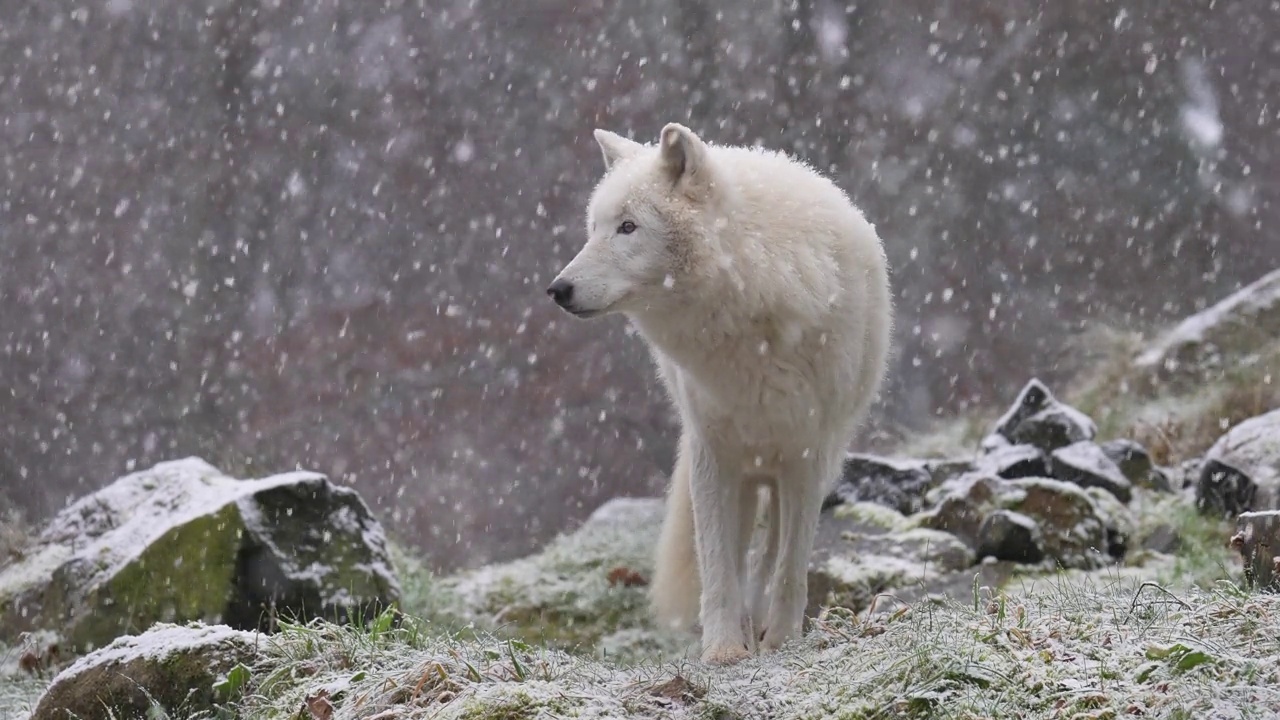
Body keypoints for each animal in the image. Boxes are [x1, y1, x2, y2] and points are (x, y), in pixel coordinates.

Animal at [545, 121, 896, 661]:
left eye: (628, 227)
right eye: (595, 228)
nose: (558, 289)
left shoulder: (808, 454)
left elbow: (790, 564)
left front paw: (783, 641)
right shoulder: (713, 450)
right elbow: (717, 561)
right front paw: (724, 650)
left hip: (802, 462)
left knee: (773, 548)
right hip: (745, 467)